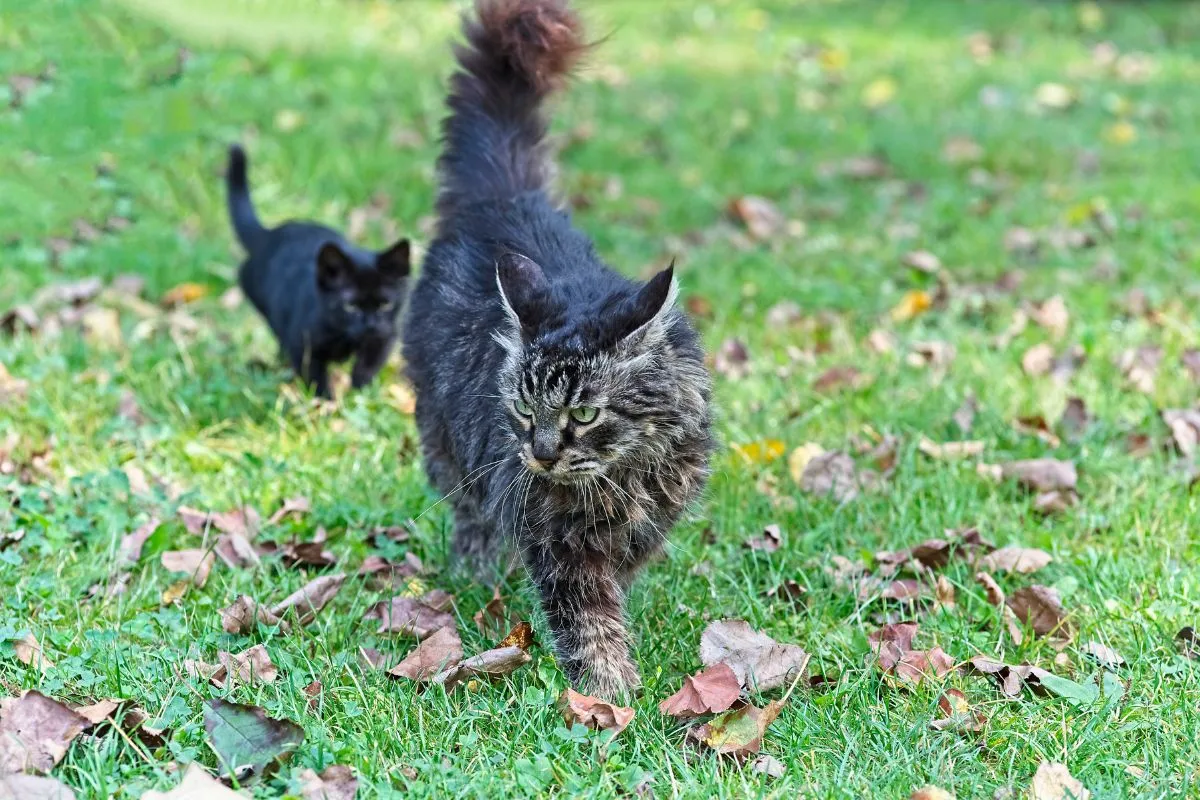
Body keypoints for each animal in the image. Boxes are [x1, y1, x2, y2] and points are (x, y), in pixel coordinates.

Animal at [225, 144, 412, 400]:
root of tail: (269, 235)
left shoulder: (386, 336)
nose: (370, 324)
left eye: (385, 304)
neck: (343, 336)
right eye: (350, 305)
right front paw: (325, 402)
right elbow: (315, 377)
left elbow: (367, 366)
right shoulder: (302, 345)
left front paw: (360, 393)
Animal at [403, 0, 710, 700]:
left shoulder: (654, 518)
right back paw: (479, 577)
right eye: (524, 409)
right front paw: (610, 692)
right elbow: (588, 616)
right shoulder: (558, 540)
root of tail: (505, 198)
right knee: (471, 516)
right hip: (449, 442)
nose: (542, 454)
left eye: (585, 414)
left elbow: (619, 582)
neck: (627, 473)